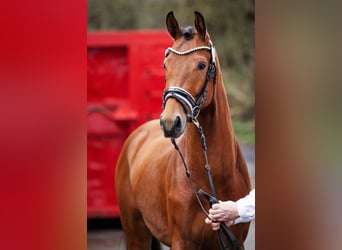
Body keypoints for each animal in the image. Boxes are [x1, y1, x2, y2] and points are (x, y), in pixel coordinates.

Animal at [115, 10, 251, 249]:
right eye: (165, 65)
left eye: (202, 65)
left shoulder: (236, 242)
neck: (214, 176)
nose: (170, 122)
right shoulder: (182, 241)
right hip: (136, 235)